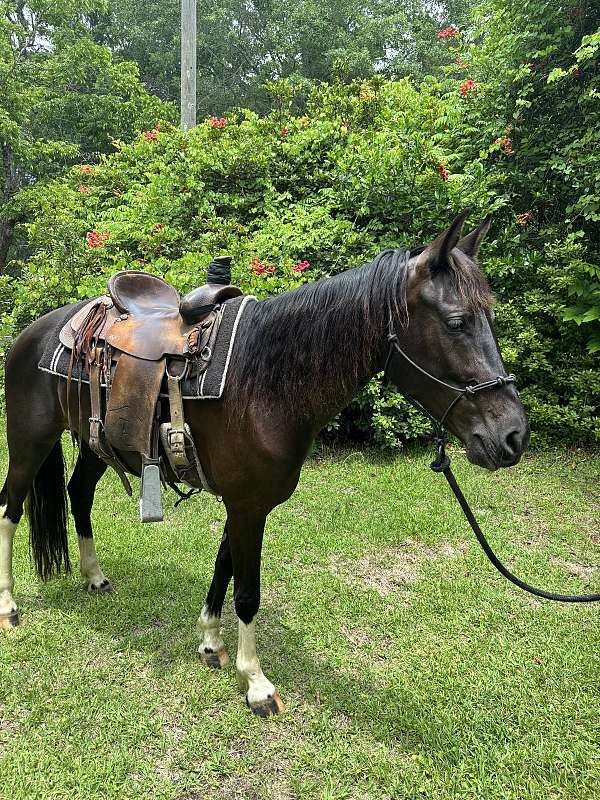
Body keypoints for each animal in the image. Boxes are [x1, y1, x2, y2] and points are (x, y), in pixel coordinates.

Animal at [0, 211, 529, 716]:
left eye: (489, 316)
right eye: (457, 322)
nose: (514, 435)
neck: (264, 385)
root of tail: (37, 329)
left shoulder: (242, 502)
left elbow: (224, 567)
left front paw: (210, 643)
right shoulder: (249, 506)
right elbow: (247, 592)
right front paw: (254, 682)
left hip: (97, 444)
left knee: (78, 496)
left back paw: (93, 577)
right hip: (29, 442)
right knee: (10, 508)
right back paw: (8, 606)